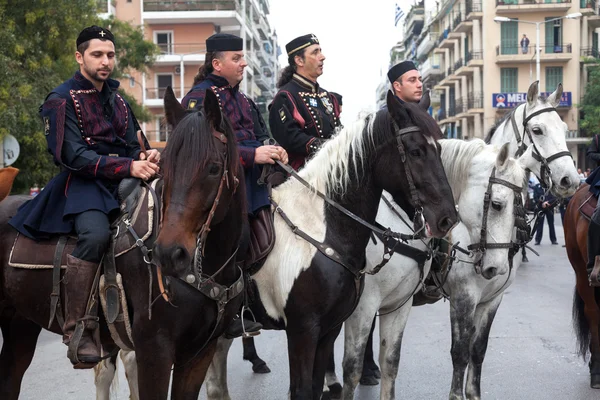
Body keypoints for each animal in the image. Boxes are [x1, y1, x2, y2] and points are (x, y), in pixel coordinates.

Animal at [0, 89, 246, 398]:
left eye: (213, 168)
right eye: (165, 167)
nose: (169, 253)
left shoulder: (199, 354)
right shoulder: (154, 351)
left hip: (20, 326)